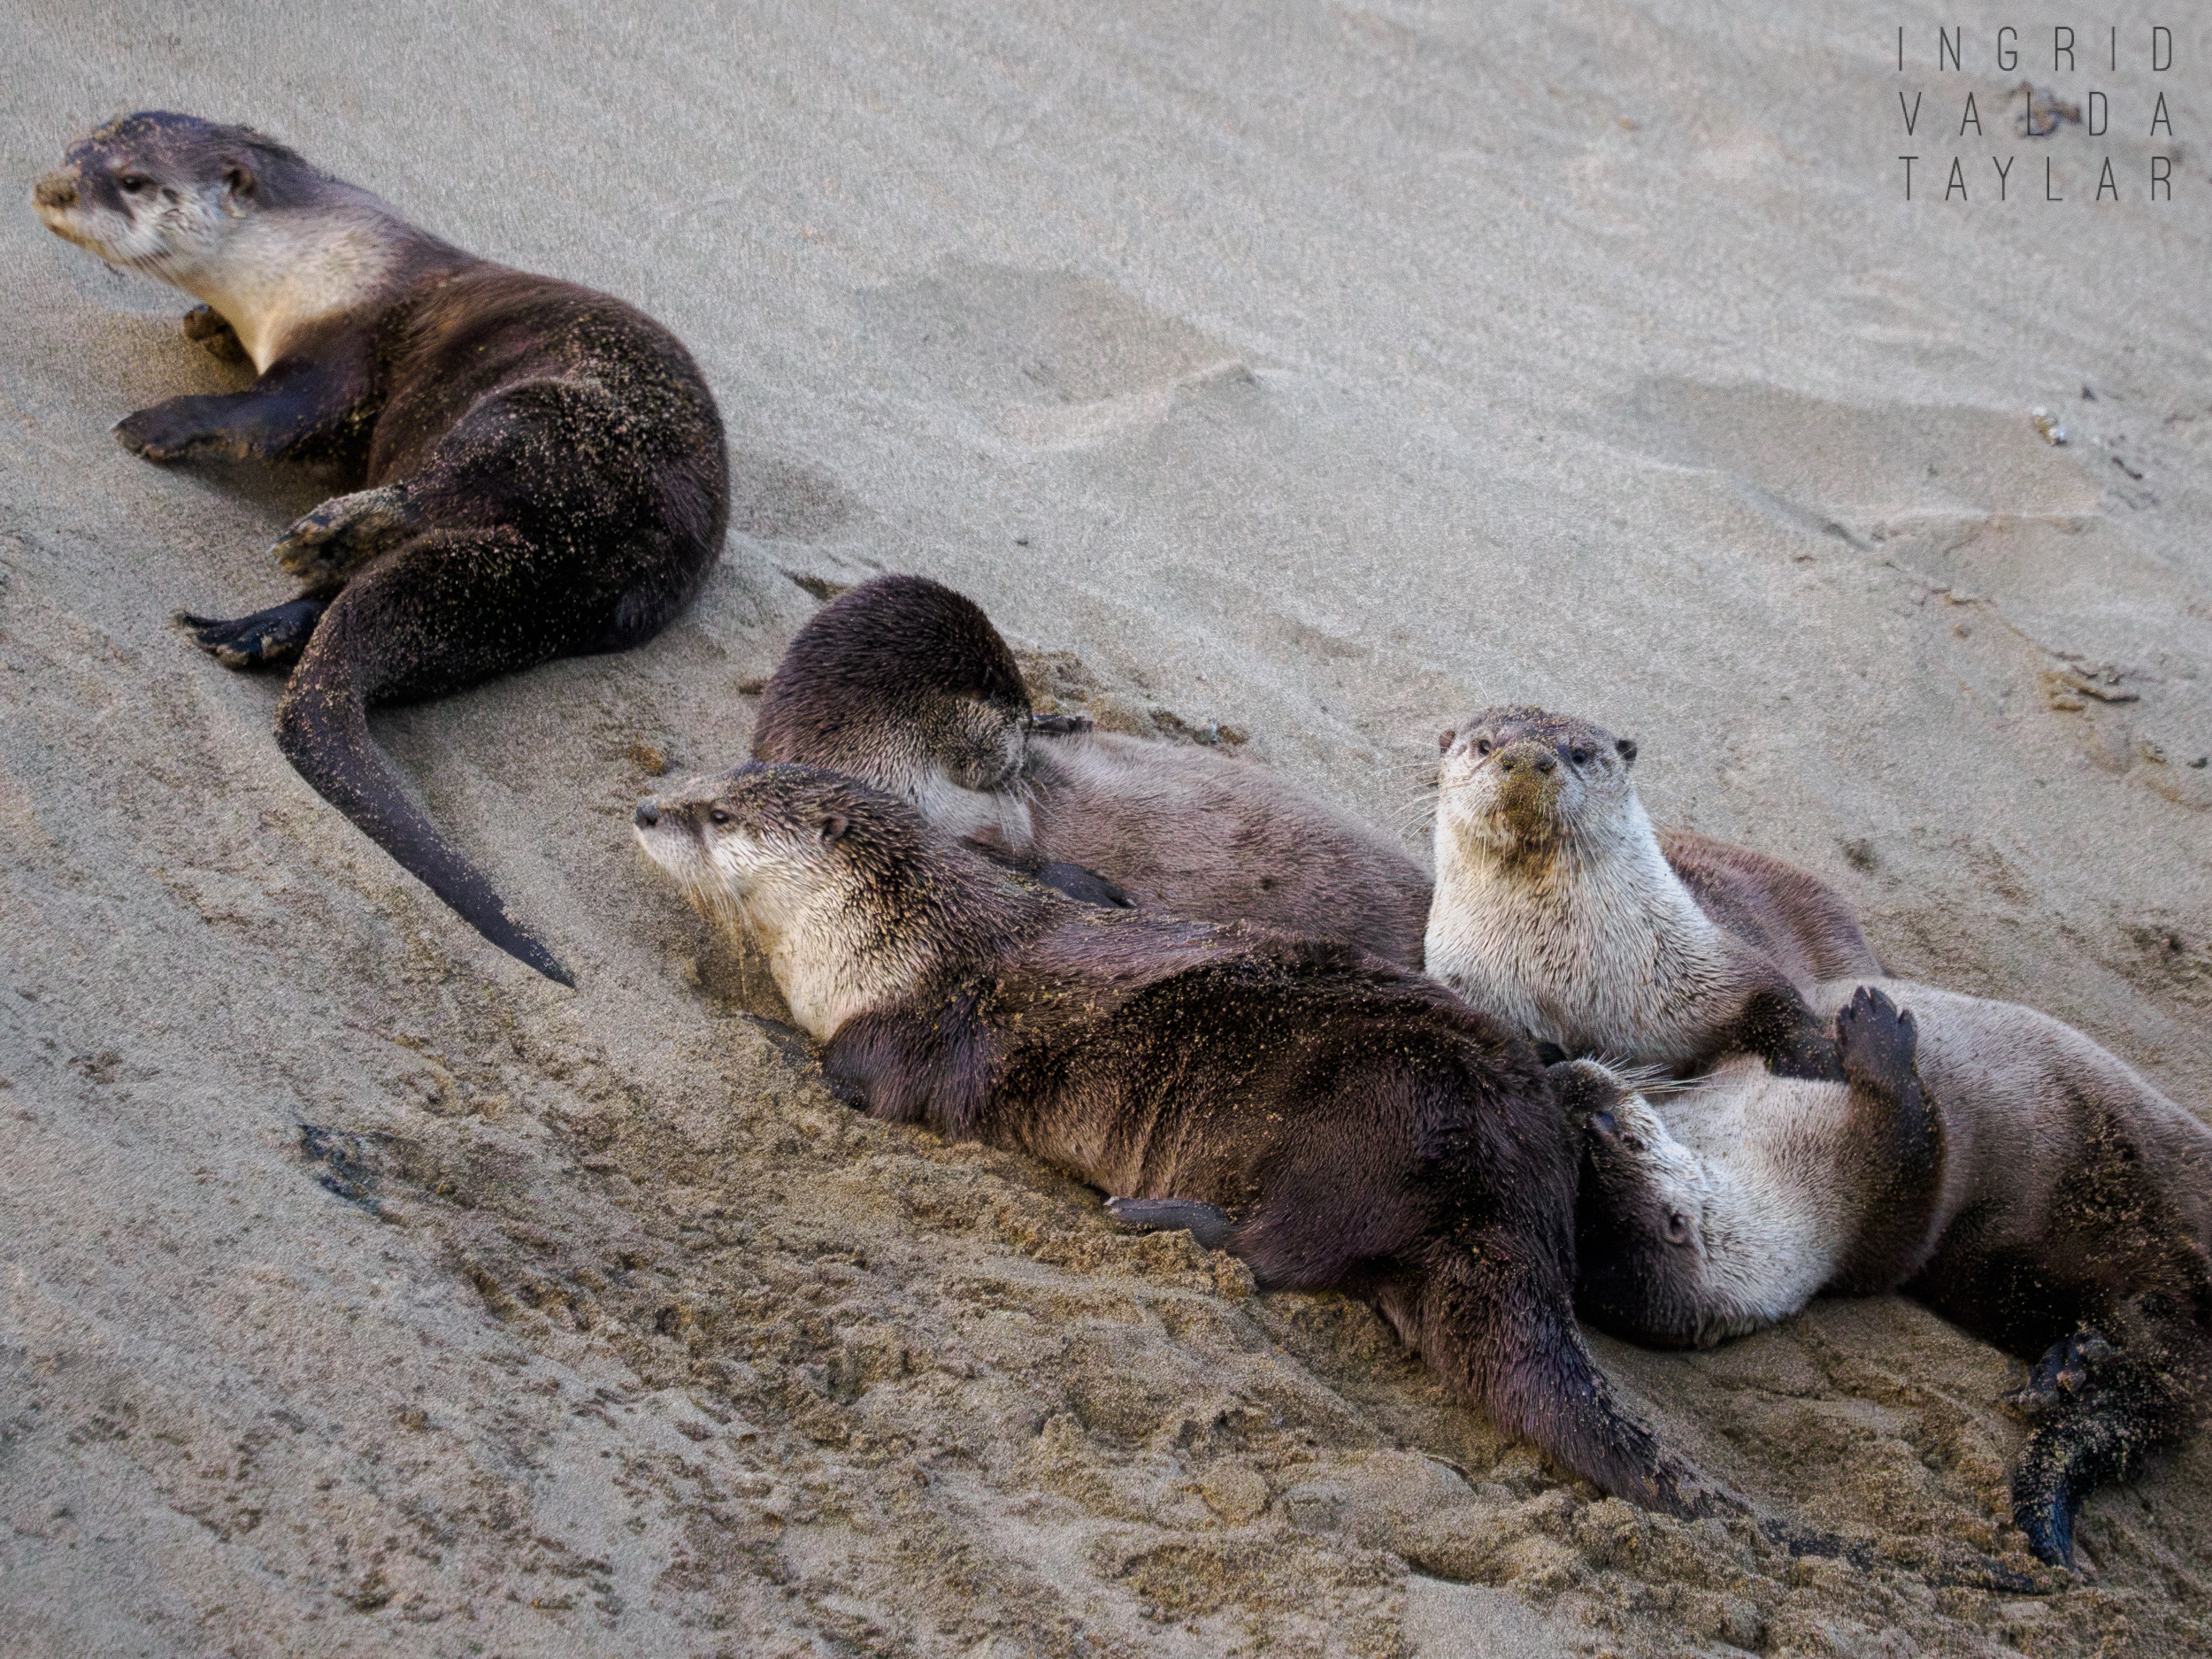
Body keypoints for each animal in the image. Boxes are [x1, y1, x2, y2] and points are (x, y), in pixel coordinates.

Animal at [32, 113, 726, 987]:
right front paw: (204, 325)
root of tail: (651, 548)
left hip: (557, 417)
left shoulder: (342, 353)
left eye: (129, 178)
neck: (311, 263)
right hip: (531, 599)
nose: (51, 187)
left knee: (448, 482)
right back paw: (256, 629)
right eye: (74, 148)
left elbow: (278, 414)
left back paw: (330, 535)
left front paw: (158, 422)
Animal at [633, 765, 1717, 1522]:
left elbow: (866, 1072)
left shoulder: (933, 1019)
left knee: (1286, 1250)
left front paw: (768, 1030)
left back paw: (1149, 1215)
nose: (645, 809)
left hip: (1369, 1119)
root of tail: (1521, 1175)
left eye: (719, 816)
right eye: (707, 780)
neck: (886, 939)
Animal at [1575, 987, 2212, 1575]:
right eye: (1617, 1132)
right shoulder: (1878, 1204)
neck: (1758, 1142)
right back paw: (2074, 1364)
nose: (1567, 1075)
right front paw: (1878, 1034)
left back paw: (2073, 1363)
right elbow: (1917, 1141)